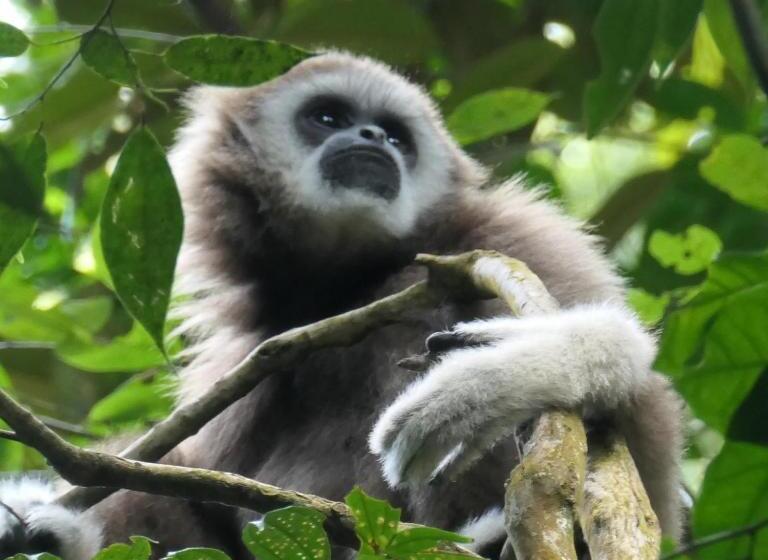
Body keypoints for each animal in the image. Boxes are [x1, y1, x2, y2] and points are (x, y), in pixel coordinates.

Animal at [0, 51, 684, 559]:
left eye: (396, 134)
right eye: (328, 116)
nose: (372, 136)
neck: (348, 280)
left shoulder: (511, 239)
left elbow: (640, 435)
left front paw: (498, 377)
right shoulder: (245, 349)